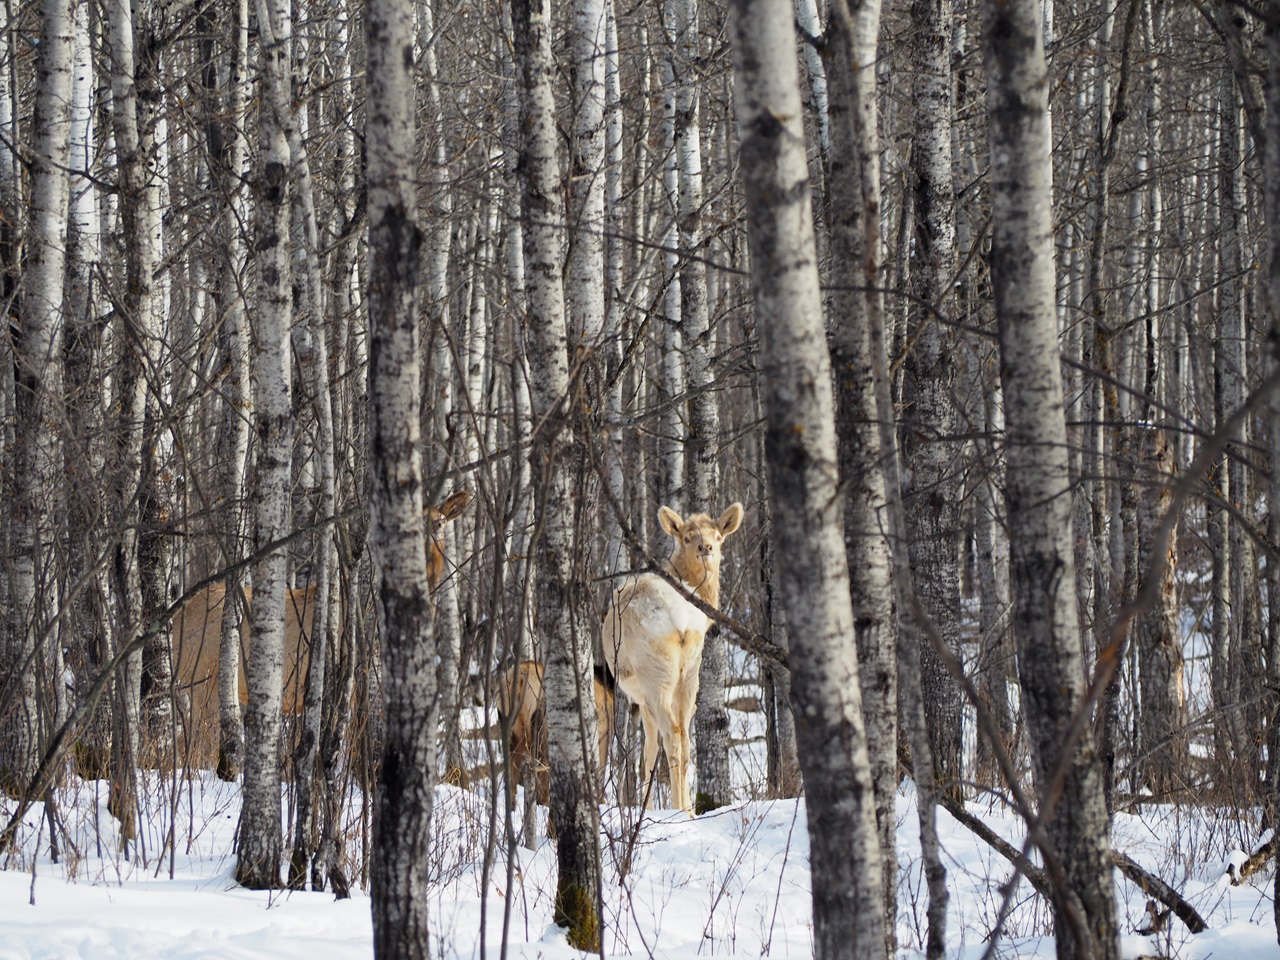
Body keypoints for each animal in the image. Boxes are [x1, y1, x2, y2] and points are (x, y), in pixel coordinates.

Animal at [496, 659, 615, 804]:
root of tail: (519, 679)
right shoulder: (603, 735)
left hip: (509, 731)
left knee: (511, 781)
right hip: (544, 734)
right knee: (543, 779)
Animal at [600, 502, 745, 815]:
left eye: (718, 536)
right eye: (687, 537)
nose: (706, 547)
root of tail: (680, 621)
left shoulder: (640, 698)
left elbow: (649, 751)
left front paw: (648, 807)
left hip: (655, 673)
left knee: (672, 736)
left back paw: (678, 809)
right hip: (690, 671)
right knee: (685, 738)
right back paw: (688, 809)